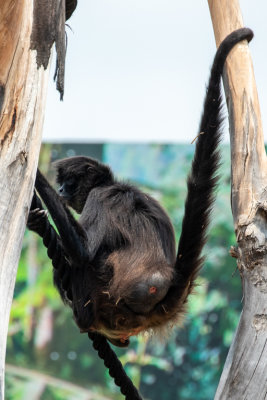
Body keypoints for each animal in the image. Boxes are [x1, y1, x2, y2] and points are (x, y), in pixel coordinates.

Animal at [28, 28, 254, 346]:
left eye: (67, 183)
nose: (60, 192)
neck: (114, 184)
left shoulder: (100, 198)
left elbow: (83, 252)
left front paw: (35, 175)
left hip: (110, 298)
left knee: (86, 262)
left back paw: (83, 318)